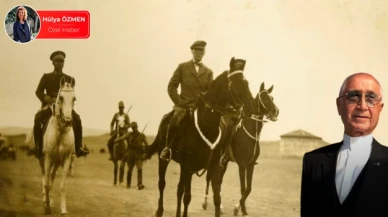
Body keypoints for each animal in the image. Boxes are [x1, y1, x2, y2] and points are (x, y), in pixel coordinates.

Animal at [146, 57, 255, 217]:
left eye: (246, 82)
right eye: (237, 82)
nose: (250, 107)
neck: (207, 126)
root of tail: (166, 117)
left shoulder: (213, 168)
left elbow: (216, 198)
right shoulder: (187, 166)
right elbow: (186, 196)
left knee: (179, 189)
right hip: (164, 158)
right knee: (163, 184)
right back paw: (159, 211)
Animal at [202, 82, 278, 217]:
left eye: (272, 98)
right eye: (264, 98)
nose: (276, 112)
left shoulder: (251, 165)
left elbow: (248, 189)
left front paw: (242, 209)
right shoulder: (242, 165)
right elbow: (243, 188)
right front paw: (237, 209)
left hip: (224, 163)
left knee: (218, 182)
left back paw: (220, 206)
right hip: (214, 162)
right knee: (209, 178)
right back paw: (205, 202)